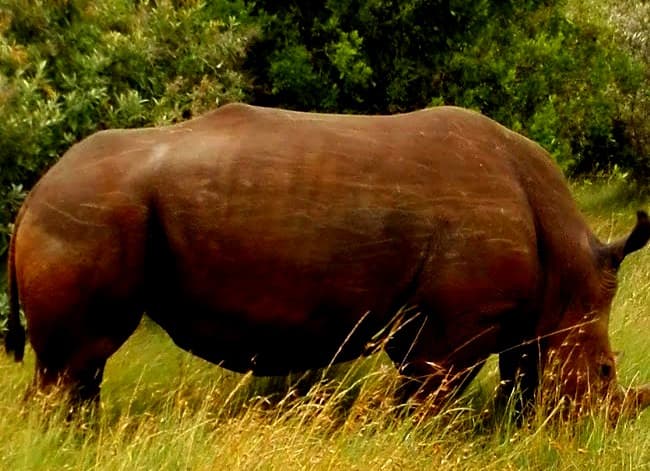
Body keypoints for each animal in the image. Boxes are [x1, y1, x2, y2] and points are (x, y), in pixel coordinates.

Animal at [5, 104, 648, 420]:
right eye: (605, 373)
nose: (596, 428)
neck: (569, 262)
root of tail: (33, 194)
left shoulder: (494, 321)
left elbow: (512, 379)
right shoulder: (459, 326)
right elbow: (428, 402)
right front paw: (412, 439)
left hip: (88, 208)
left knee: (82, 368)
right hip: (85, 212)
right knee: (74, 362)